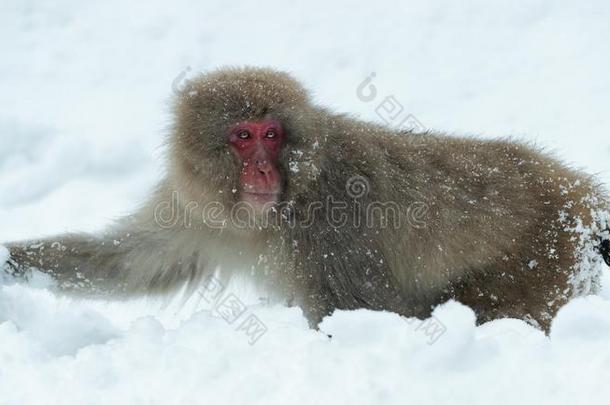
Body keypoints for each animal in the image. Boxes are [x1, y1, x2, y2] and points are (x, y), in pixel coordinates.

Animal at [1, 67, 608, 332]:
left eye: (272, 134)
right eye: (242, 135)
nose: (263, 168)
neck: (274, 210)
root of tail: (573, 188)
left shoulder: (329, 223)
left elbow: (365, 312)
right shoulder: (196, 209)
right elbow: (135, 262)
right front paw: (9, 265)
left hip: (543, 258)